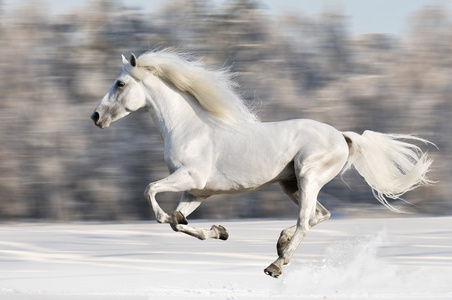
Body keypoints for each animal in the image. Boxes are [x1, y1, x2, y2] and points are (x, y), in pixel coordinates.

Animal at [90, 49, 432, 278]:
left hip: (308, 177)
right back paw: (280, 244)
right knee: (319, 215)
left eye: (120, 84)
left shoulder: (189, 178)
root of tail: (342, 136)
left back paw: (276, 264)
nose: (95, 116)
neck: (189, 127)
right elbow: (178, 222)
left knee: (306, 219)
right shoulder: (197, 192)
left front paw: (186, 221)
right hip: (290, 184)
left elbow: (152, 194)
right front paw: (219, 231)